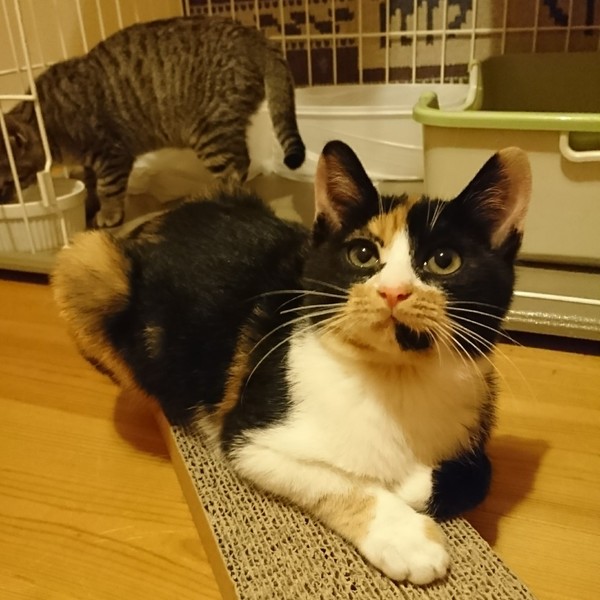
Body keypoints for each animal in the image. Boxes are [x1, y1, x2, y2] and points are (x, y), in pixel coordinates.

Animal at [0, 16, 305, 227]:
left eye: (4, 183)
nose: (3, 201)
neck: (45, 119)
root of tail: (255, 36)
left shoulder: (111, 154)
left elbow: (108, 189)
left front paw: (108, 214)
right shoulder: (91, 161)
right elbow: (90, 185)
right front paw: (89, 206)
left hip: (209, 132)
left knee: (236, 166)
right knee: (243, 160)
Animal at [52, 140, 531, 584]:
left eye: (444, 261)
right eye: (362, 254)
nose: (393, 291)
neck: (397, 379)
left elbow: (480, 473)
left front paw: (413, 486)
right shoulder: (249, 437)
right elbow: (335, 478)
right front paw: (406, 536)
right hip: (91, 261)